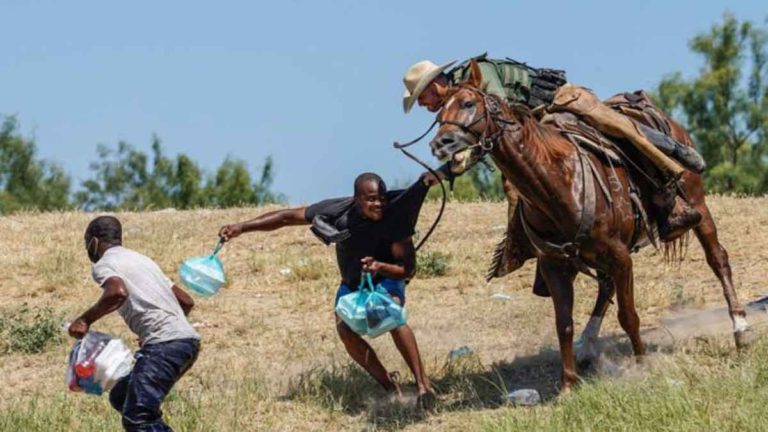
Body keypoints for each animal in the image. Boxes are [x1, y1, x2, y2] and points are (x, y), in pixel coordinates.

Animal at [432, 60, 752, 392]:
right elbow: (564, 324)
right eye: (438, 114)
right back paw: (587, 345)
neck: (557, 182)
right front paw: (568, 385)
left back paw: (740, 328)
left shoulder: (621, 257)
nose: (441, 143)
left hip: (698, 206)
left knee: (717, 259)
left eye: (468, 103)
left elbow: (628, 316)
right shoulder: (555, 265)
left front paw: (642, 365)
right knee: (605, 286)